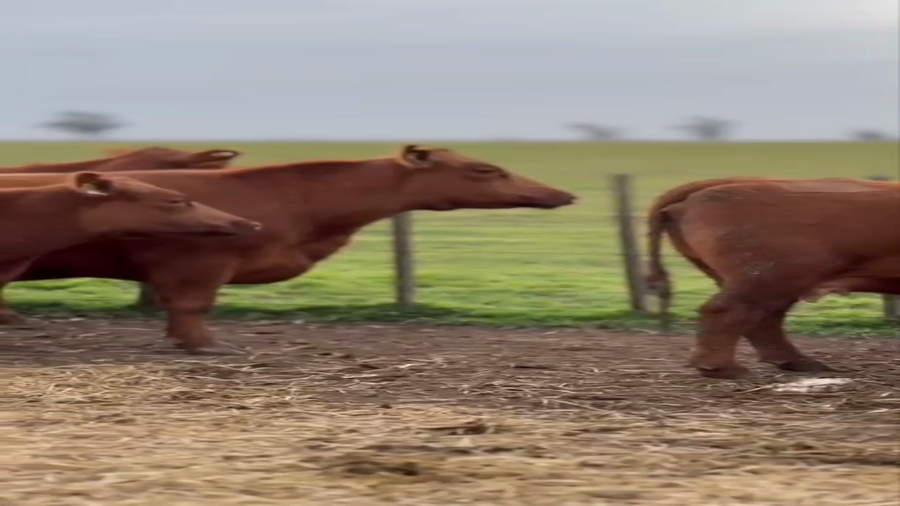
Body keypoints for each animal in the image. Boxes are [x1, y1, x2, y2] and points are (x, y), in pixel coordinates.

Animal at [645, 176, 899, 379]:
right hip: (769, 279)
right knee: (727, 312)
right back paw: (723, 368)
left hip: (772, 282)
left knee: (762, 319)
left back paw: (799, 363)